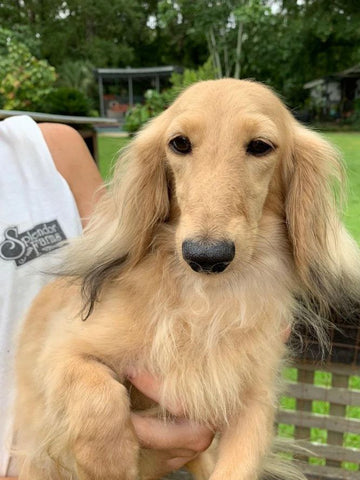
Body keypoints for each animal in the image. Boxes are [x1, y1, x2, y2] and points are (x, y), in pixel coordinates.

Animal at [13, 79, 360, 480]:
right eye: (179, 143)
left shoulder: (252, 402)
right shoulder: (60, 350)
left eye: (260, 146)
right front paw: (109, 458)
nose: (206, 257)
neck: (205, 299)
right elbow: (93, 387)